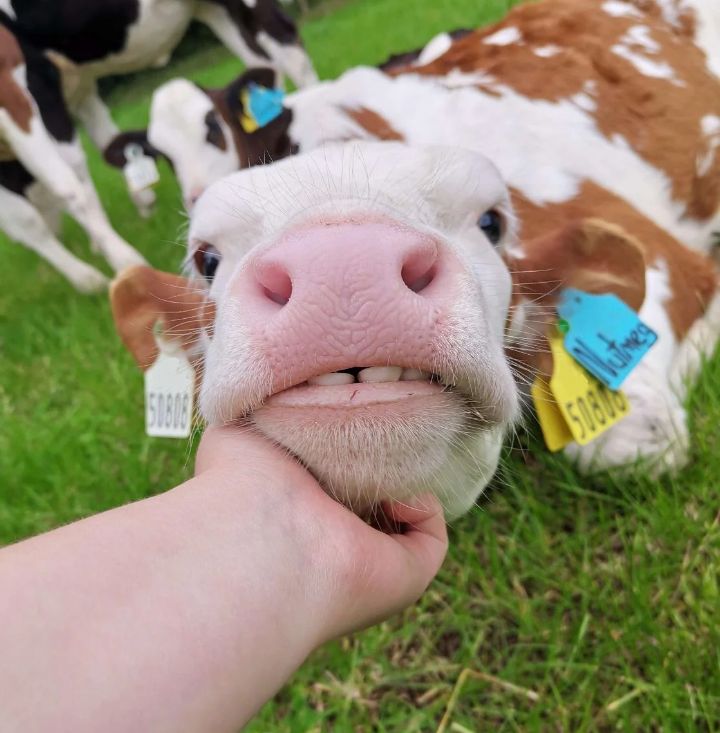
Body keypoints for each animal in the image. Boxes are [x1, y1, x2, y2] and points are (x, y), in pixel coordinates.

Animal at [0, 0, 317, 292]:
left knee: (289, 54)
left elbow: (68, 184)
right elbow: (30, 217)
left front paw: (120, 263)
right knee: (263, 65)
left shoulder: (17, 81)